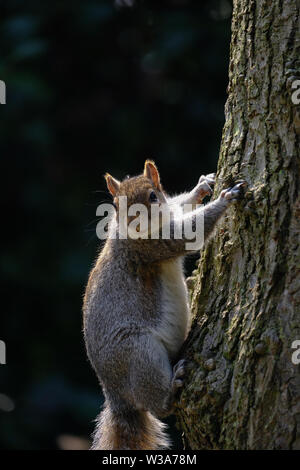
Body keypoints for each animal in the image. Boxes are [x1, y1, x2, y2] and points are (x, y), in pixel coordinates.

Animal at [82, 162, 246, 452]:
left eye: (153, 196)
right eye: (116, 204)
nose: (134, 221)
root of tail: (116, 397)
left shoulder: (170, 216)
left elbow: (181, 205)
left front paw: (201, 187)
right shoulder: (151, 246)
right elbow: (189, 233)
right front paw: (224, 199)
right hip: (138, 353)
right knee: (158, 405)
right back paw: (171, 390)